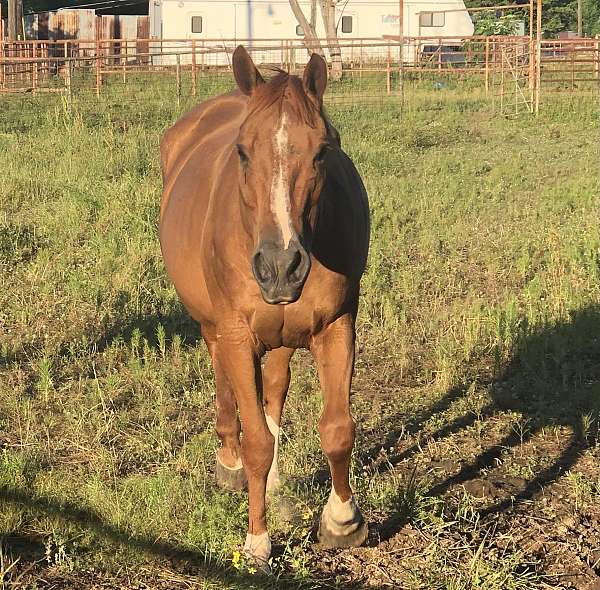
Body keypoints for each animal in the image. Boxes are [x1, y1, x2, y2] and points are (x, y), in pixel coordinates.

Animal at [158, 46, 370, 568]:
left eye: (322, 151)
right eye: (241, 151)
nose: (280, 266)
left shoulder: (338, 326)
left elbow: (337, 428)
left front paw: (342, 521)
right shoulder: (236, 333)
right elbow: (257, 441)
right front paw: (257, 541)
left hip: (283, 335)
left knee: (274, 387)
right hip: (214, 326)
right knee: (226, 384)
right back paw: (229, 464)